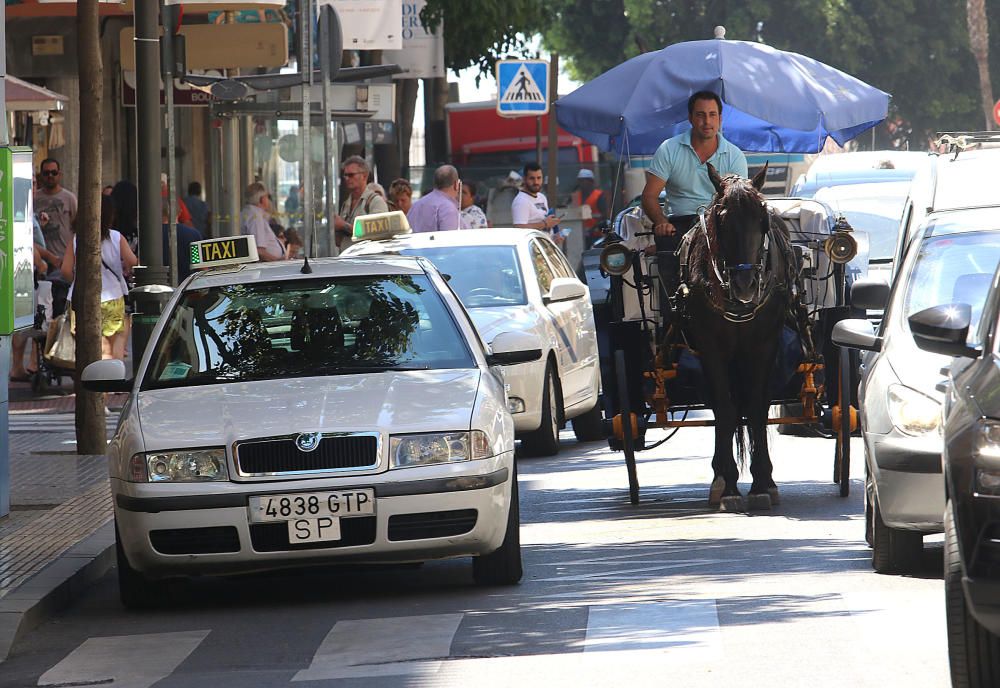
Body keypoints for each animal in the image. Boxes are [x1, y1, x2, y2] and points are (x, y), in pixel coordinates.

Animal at [676, 163, 800, 510]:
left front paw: (762, 483)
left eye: (762, 217)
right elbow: (726, 409)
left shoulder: (764, 344)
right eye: (721, 219)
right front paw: (729, 484)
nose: (746, 285)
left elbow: (757, 407)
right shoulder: (711, 348)